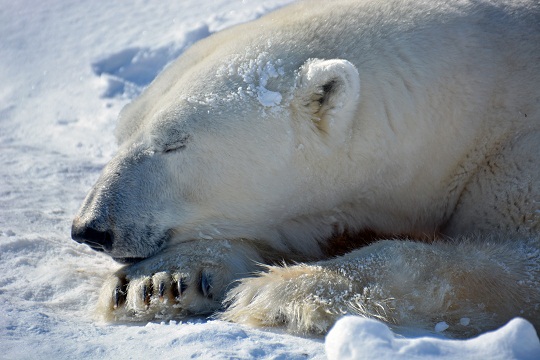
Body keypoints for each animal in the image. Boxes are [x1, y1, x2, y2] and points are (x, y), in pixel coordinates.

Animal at [70, 0, 536, 338]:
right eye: (121, 132)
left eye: (173, 143)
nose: (91, 228)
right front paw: (155, 282)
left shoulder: (515, 150)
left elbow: (513, 264)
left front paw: (275, 291)